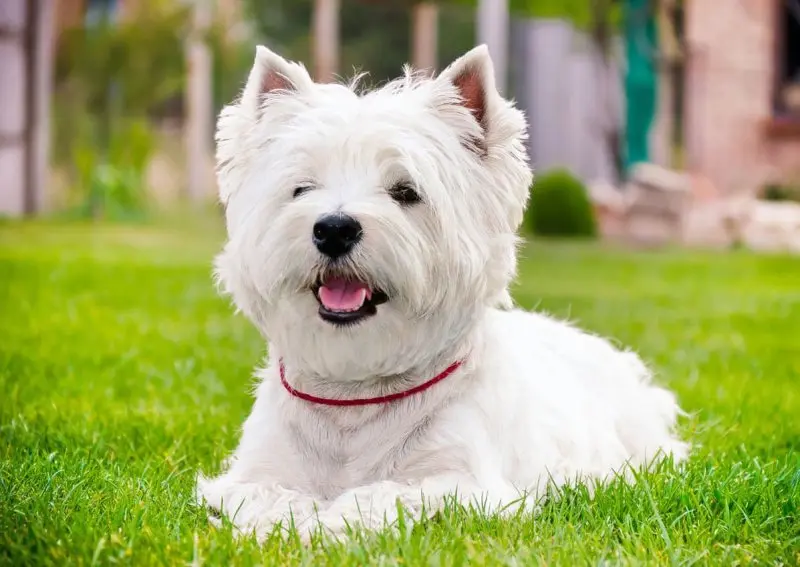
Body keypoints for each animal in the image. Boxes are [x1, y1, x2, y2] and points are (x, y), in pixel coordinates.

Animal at [195, 44, 688, 540]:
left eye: (405, 191)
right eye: (301, 189)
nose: (333, 229)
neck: (353, 401)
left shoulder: (466, 482)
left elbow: (382, 493)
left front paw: (330, 526)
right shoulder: (252, 474)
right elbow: (271, 497)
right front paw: (287, 526)